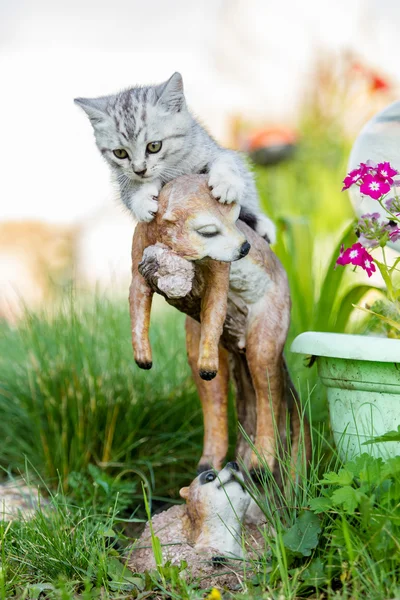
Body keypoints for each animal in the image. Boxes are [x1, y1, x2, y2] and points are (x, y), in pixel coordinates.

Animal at [74, 74, 276, 243]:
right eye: (120, 153)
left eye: (154, 146)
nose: (140, 170)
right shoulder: (124, 176)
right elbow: (130, 188)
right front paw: (142, 201)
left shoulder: (214, 151)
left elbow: (226, 161)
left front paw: (225, 184)